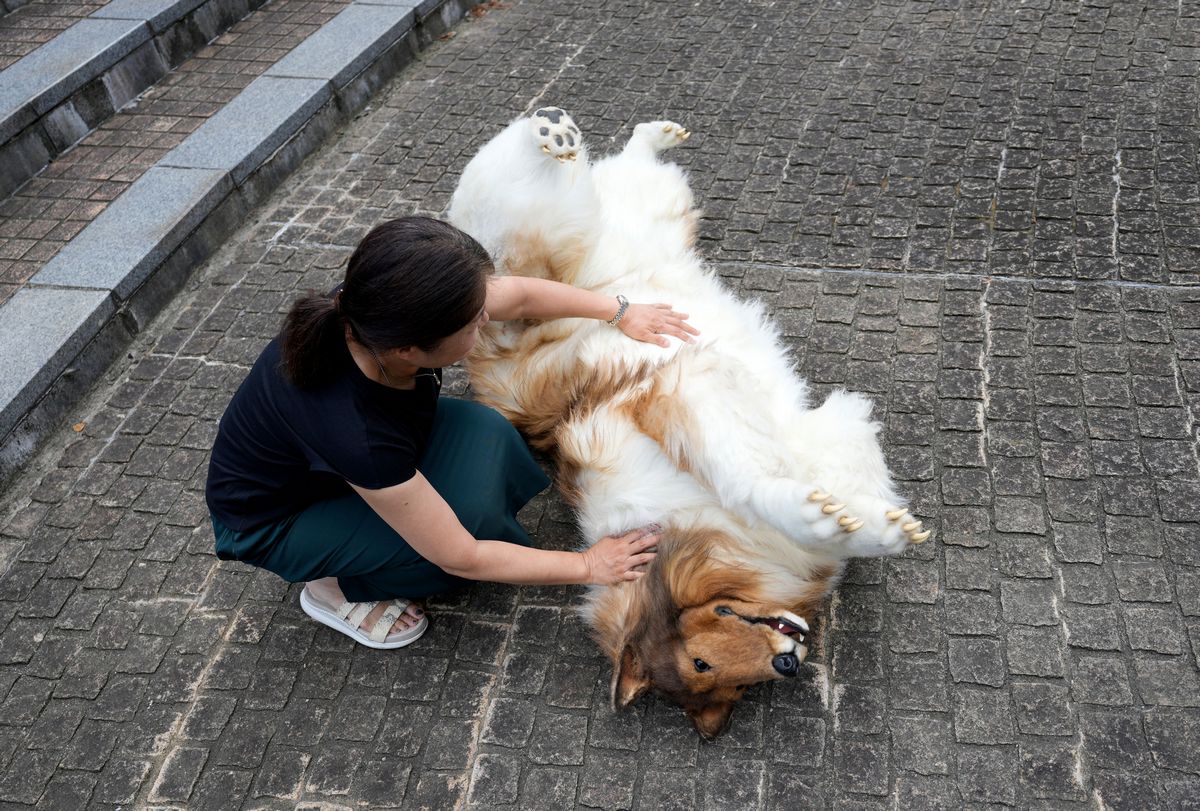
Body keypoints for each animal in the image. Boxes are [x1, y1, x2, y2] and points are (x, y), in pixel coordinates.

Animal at [451, 109, 926, 739]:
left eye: (702, 662)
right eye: (714, 674)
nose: (791, 662)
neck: (680, 529)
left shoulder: (671, 398)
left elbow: (748, 478)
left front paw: (842, 518)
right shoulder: (726, 403)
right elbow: (806, 484)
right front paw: (860, 524)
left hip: (556, 237)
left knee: (527, 168)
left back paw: (558, 132)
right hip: (635, 207)